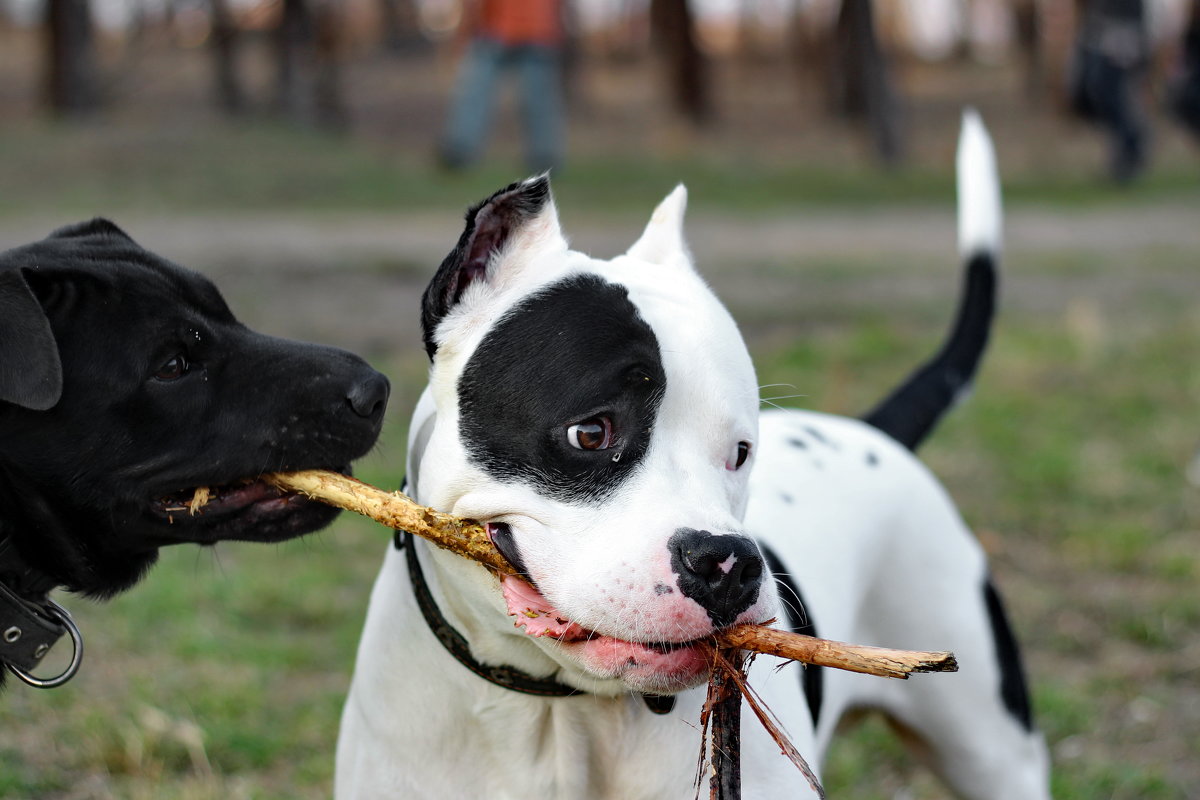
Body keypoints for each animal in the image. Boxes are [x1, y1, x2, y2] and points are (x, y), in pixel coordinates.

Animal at [336, 113, 1051, 800]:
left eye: (740, 452)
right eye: (590, 433)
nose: (727, 564)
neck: (558, 711)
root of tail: (876, 433)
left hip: (995, 753)